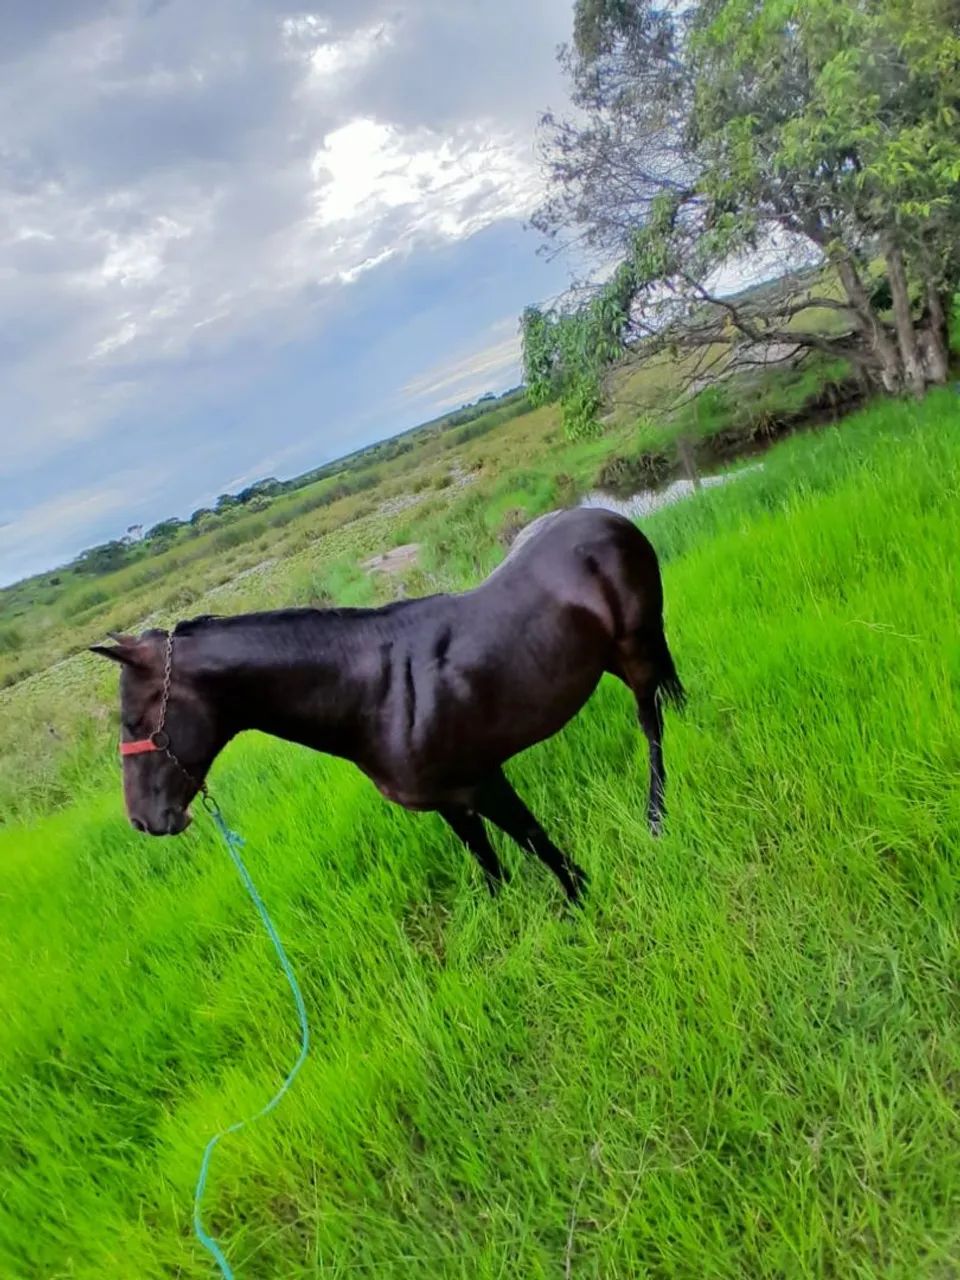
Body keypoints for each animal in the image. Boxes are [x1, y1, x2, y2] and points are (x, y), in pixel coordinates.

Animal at [91, 507, 684, 903]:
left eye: (135, 721)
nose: (143, 821)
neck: (376, 695)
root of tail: (608, 517)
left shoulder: (483, 780)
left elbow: (536, 841)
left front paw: (580, 895)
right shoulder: (449, 801)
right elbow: (488, 862)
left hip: (633, 649)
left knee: (651, 725)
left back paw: (656, 813)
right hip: (619, 653)